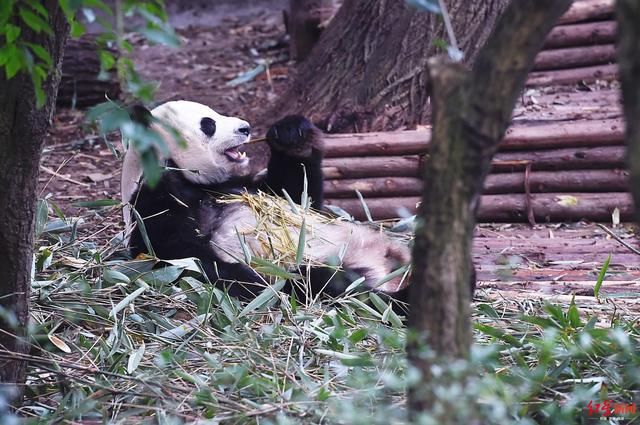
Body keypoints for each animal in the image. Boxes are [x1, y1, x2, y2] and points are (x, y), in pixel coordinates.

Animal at [120, 101, 410, 304]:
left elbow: (297, 195)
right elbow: (179, 256)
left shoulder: (242, 186)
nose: (245, 128)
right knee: (326, 283)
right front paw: (257, 282)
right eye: (208, 124)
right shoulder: (154, 203)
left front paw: (293, 134)